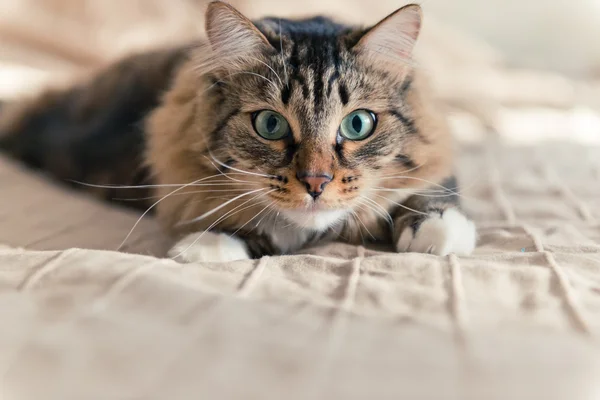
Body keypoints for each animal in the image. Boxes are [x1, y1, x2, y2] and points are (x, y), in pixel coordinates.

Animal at [0, 1, 478, 262]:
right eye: (270, 124)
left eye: (358, 124)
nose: (316, 182)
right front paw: (211, 244)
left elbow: (431, 188)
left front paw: (439, 232)